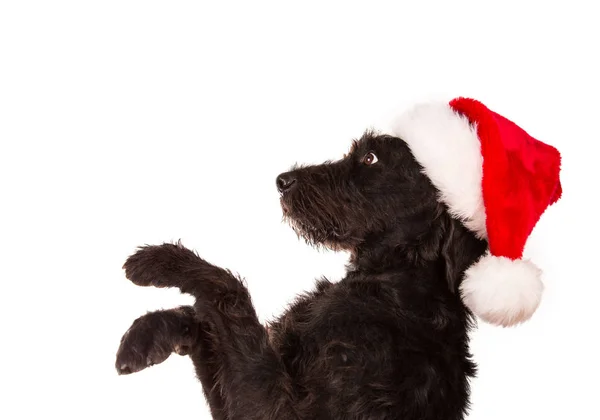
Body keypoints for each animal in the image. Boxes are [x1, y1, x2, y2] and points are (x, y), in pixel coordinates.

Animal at [116, 131, 488, 420]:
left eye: (370, 158)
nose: (282, 180)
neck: (394, 279)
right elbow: (198, 319)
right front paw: (145, 336)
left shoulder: (276, 409)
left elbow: (227, 288)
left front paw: (162, 260)